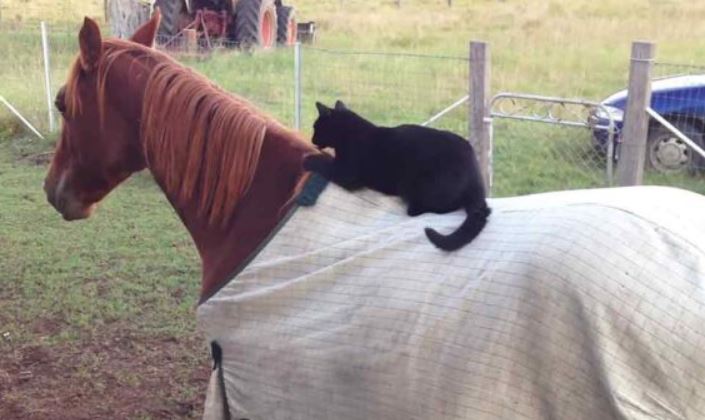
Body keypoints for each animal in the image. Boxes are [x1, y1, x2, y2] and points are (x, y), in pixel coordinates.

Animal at [302, 100, 490, 251]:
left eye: (315, 127)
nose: (312, 140)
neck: (349, 134)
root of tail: (474, 174)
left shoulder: (346, 174)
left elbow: (324, 163)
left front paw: (308, 158)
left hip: (414, 184)